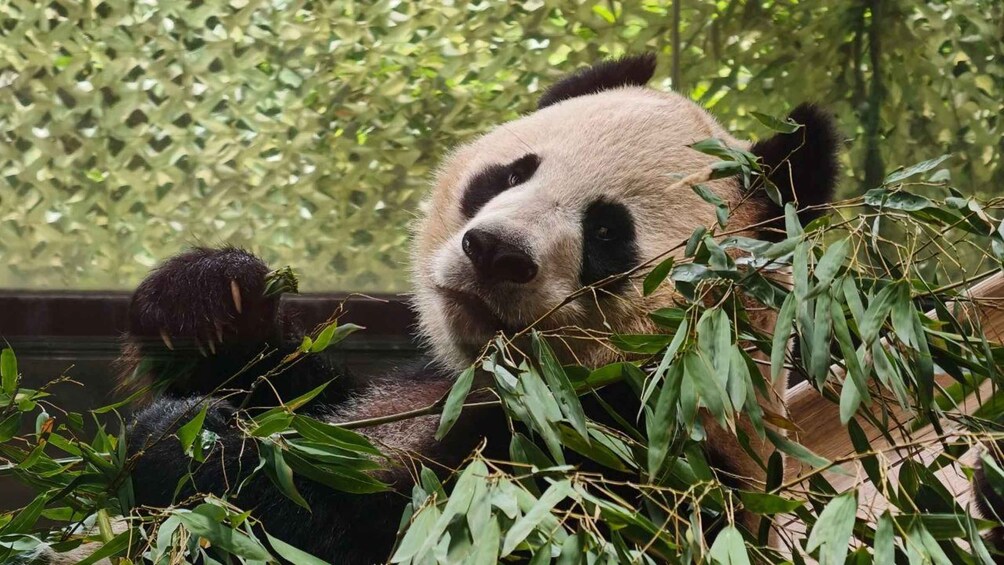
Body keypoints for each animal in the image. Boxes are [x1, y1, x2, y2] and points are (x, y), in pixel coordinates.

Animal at [100, 54, 841, 563]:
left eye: (607, 232)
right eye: (512, 173)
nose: (493, 251)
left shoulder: (632, 460)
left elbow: (373, 532)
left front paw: (191, 449)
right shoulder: (414, 385)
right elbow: (299, 391)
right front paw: (208, 301)